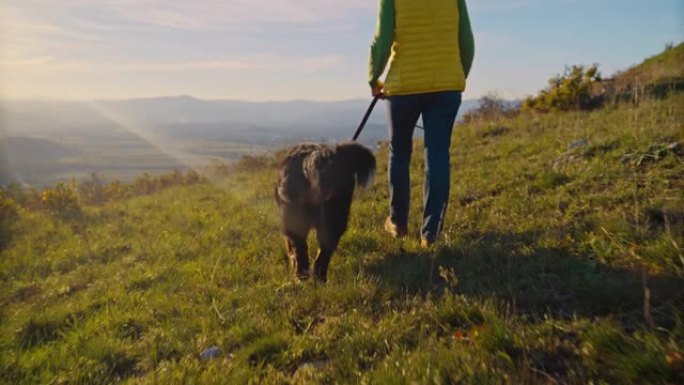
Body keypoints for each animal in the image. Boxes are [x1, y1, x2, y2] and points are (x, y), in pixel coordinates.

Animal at [276, 142, 376, 280]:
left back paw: (301, 275)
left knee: (300, 248)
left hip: (295, 219)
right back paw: (319, 277)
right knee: (324, 251)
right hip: (336, 217)